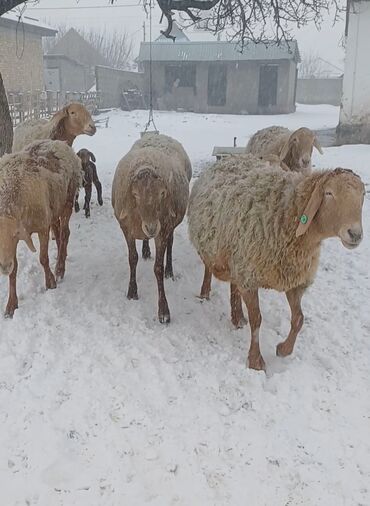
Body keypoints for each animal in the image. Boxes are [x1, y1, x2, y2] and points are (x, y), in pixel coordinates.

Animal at [0, 136, 81, 314]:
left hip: (67, 201)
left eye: (14, 234)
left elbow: (43, 258)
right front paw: (11, 305)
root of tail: (57, 141)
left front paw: (50, 282)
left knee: (65, 234)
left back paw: (60, 269)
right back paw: (60, 258)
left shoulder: (42, 227)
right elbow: (14, 270)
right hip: (54, 209)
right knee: (58, 233)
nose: (3, 266)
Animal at [189, 154, 366, 372]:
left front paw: (283, 349)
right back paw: (206, 293)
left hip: (235, 256)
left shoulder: (293, 280)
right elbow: (257, 320)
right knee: (208, 268)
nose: (355, 234)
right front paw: (256, 361)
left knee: (233, 284)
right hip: (213, 248)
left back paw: (237, 316)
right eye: (329, 193)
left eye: (363, 195)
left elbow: (299, 319)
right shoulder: (249, 278)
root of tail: (229, 159)